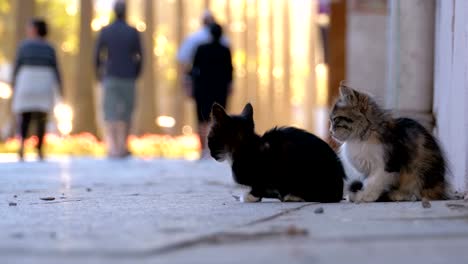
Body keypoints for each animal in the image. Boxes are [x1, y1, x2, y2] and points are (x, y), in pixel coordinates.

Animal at [207, 102, 344, 202]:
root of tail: (339, 191)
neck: (246, 147)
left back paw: (292, 196)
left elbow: (259, 184)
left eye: (210, 139)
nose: (212, 155)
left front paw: (248, 197)